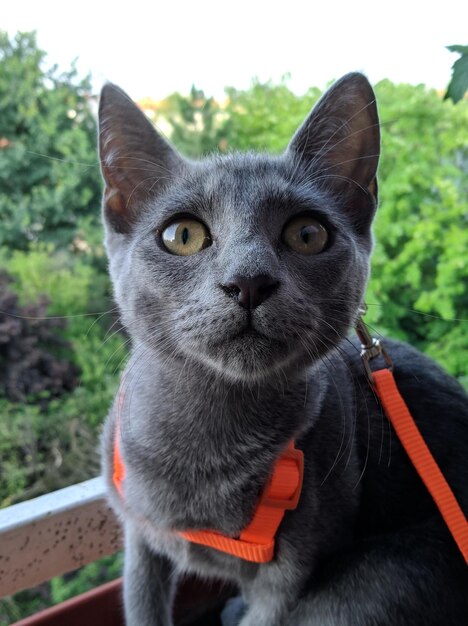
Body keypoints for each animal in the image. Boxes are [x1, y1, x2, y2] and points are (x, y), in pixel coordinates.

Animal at [97, 74, 466, 624]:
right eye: (181, 234)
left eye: (308, 233)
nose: (249, 281)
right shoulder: (141, 539)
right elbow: (142, 604)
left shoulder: (290, 576)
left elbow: (267, 609)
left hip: (367, 588)